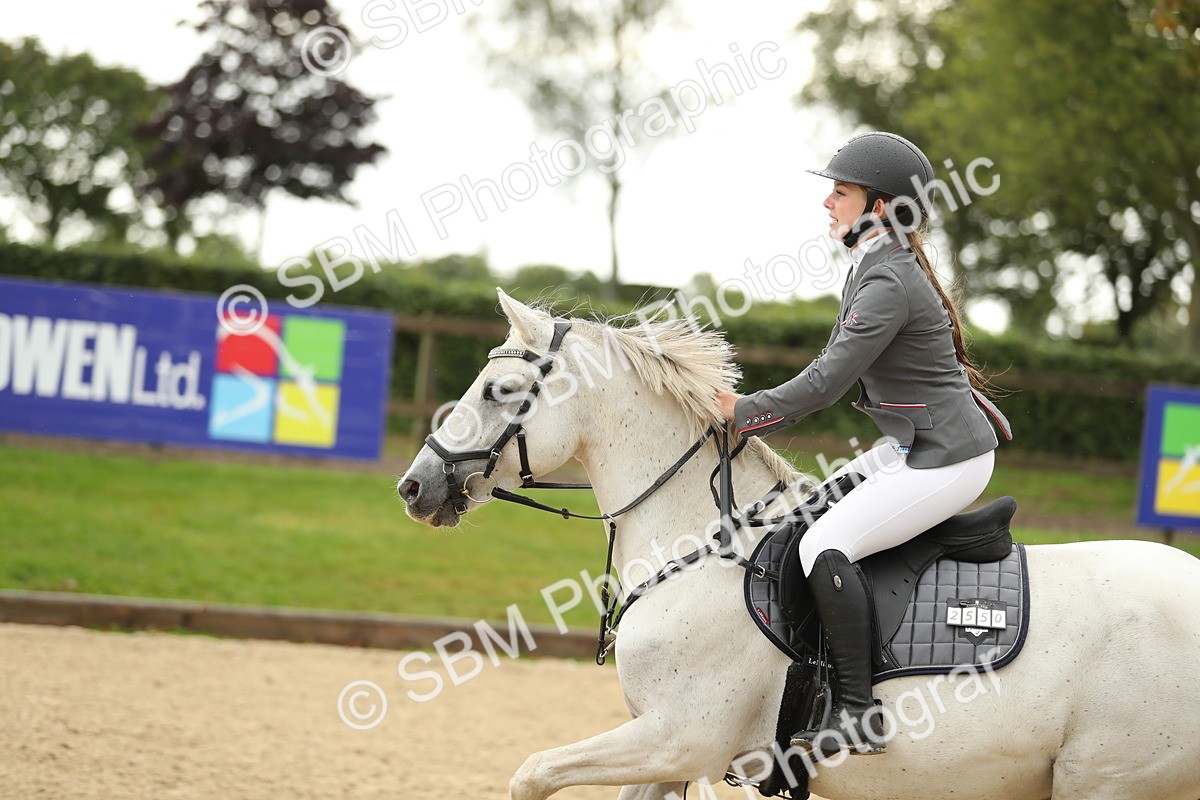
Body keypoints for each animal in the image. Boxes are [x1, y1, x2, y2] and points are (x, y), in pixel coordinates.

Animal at [398, 289, 1200, 800]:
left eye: (498, 391)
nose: (414, 486)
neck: (697, 549)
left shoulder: (681, 736)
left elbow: (531, 772)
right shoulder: (663, 749)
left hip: (1106, 781)